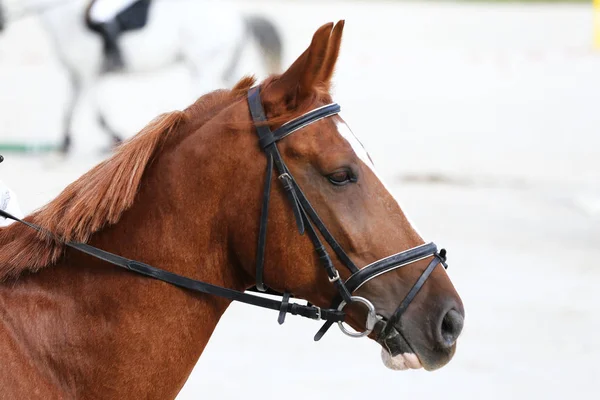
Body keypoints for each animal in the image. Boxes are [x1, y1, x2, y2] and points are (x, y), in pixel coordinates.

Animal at [0, 0, 284, 153]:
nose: (2, 25)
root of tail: (239, 19)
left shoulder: (88, 73)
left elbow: (94, 112)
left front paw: (114, 137)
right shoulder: (77, 75)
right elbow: (69, 109)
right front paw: (66, 143)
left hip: (205, 66)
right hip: (222, 66)